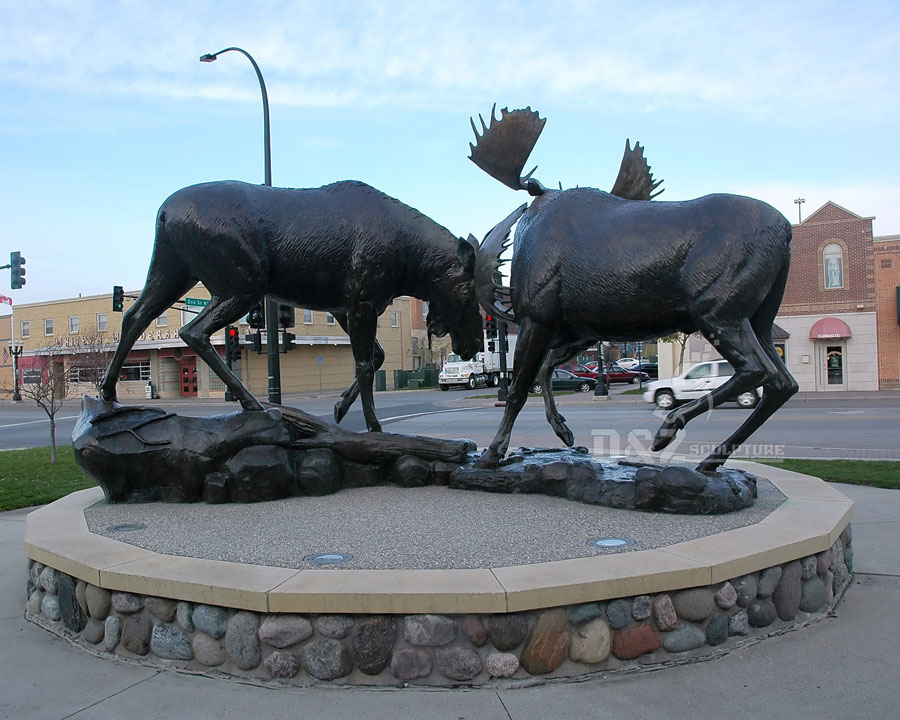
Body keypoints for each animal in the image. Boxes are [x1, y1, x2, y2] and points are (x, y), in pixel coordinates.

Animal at [468, 102, 800, 472]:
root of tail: (785, 230)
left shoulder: (537, 318)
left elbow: (519, 389)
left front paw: (493, 452)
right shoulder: (580, 331)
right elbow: (546, 369)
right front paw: (564, 432)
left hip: (716, 310)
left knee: (757, 370)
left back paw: (668, 428)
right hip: (759, 316)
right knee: (783, 382)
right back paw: (709, 460)